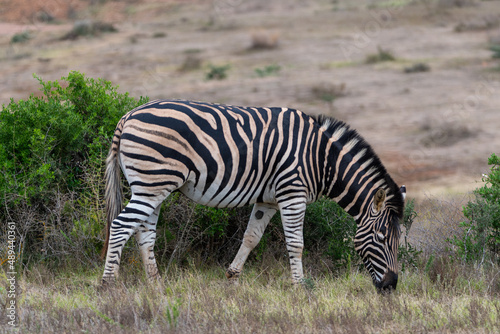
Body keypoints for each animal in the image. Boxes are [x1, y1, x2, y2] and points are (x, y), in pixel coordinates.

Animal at [101, 98, 406, 290]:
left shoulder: (267, 199)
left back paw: (156, 285)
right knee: (120, 226)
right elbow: (296, 244)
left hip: (152, 187)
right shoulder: (292, 193)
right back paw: (108, 285)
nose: (391, 286)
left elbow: (251, 238)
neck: (322, 160)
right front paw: (301, 287)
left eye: (397, 239)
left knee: (144, 233)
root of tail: (127, 116)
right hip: (153, 182)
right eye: (381, 238)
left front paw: (232, 278)